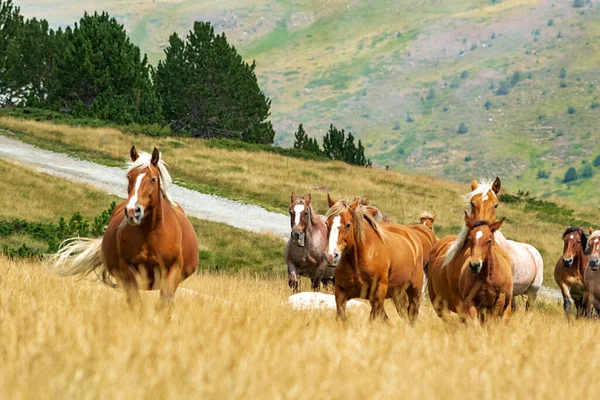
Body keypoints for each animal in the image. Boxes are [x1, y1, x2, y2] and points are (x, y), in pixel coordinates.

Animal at [51, 146, 199, 306]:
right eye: (129, 177)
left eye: (153, 179)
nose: (133, 211)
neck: (150, 234)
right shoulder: (128, 272)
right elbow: (136, 304)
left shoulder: (172, 272)